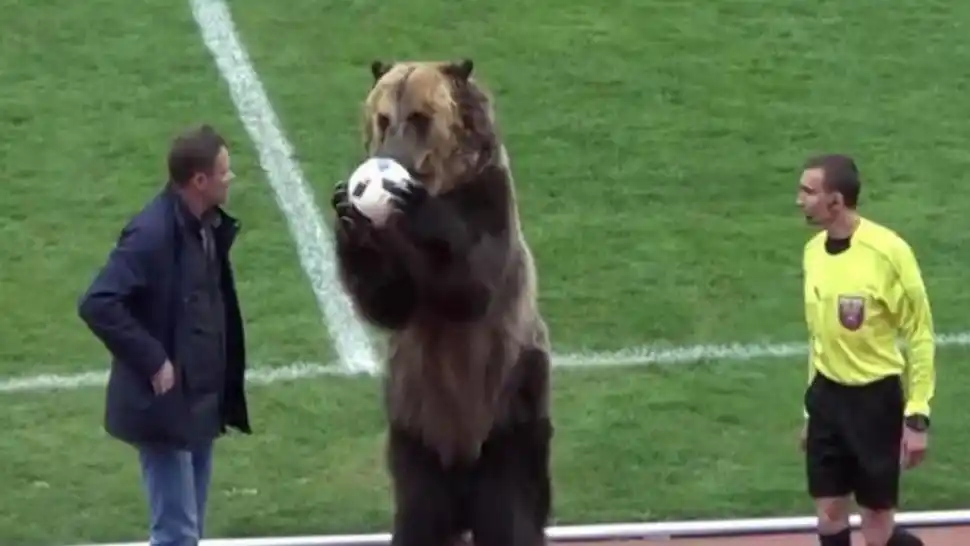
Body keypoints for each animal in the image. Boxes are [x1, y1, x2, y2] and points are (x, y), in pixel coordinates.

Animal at [329, 59, 553, 546]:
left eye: (419, 117)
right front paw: (347, 216)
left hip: (509, 413)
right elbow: (389, 302)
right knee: (419, 516)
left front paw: (417, 205)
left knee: (513, 511)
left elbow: (470, 288)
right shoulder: (393, 257)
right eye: (383, 118)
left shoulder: (490, 204)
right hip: (415, 427)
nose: (390, 159)